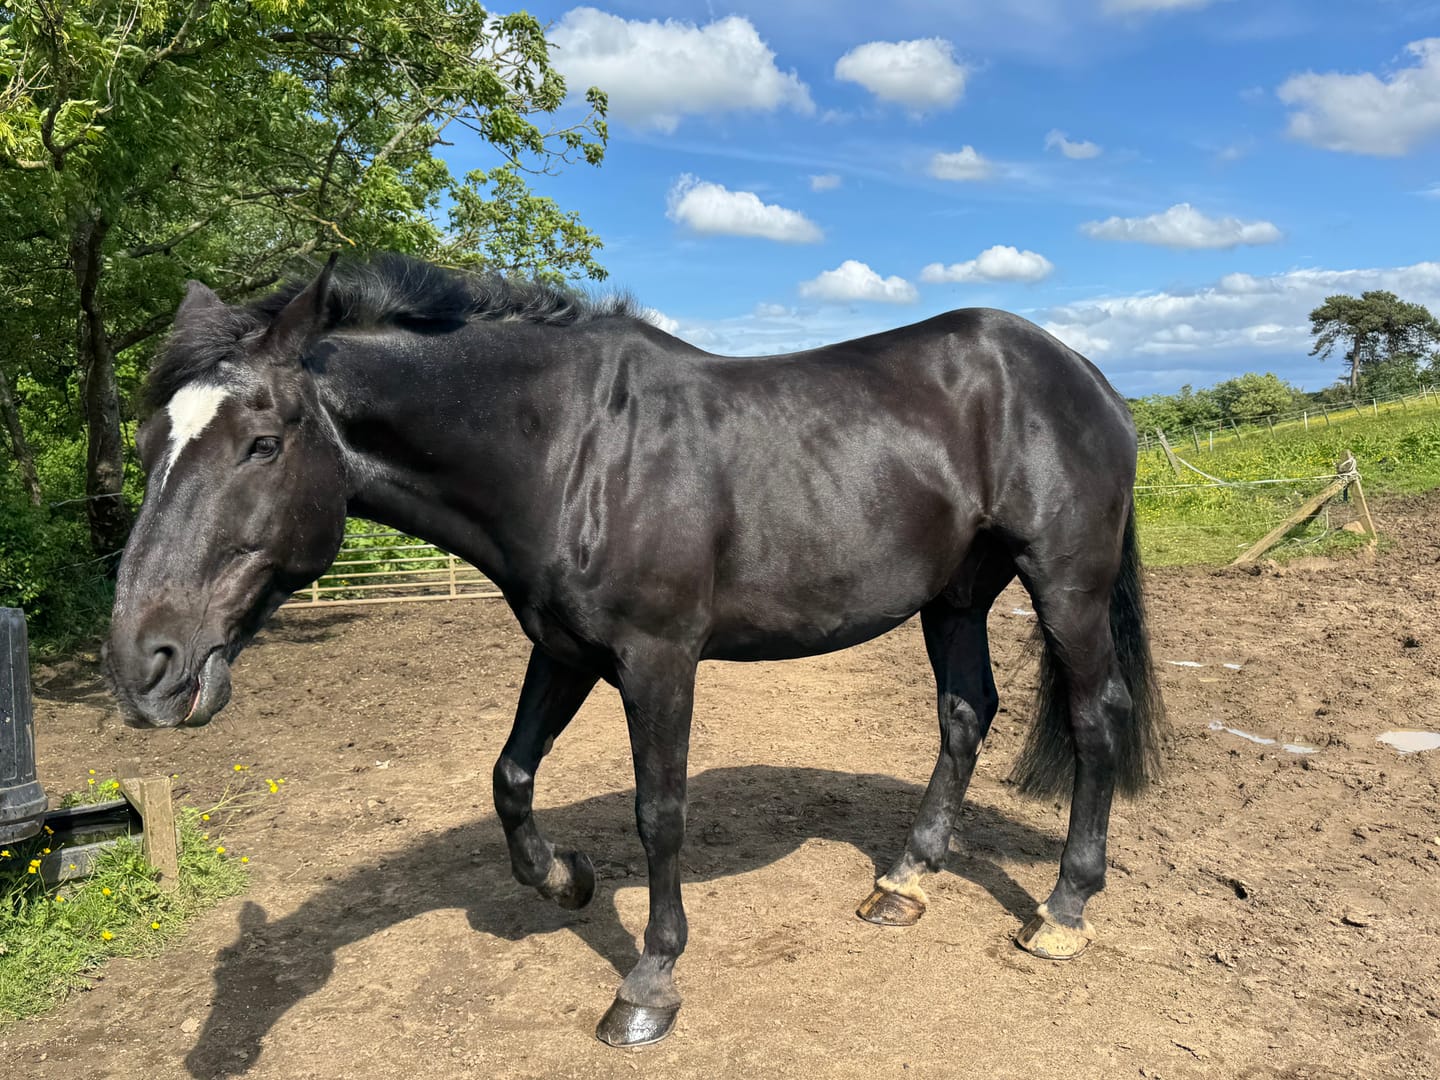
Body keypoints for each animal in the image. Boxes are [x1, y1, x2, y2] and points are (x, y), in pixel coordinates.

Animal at [104, 253, 1164, 1048]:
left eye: (262, 442)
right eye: (151, 440)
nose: (141, 665)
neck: (570, 449)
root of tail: (1085, 373)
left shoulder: (658, 661)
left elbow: (661, 815)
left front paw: (648, 986)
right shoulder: (565, 650)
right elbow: (510, 776)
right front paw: (565, 879)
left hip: (1064, 586)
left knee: (1094, 718)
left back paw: (1063, 912)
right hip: (954, 596)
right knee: (965, 713)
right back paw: (904, 882)